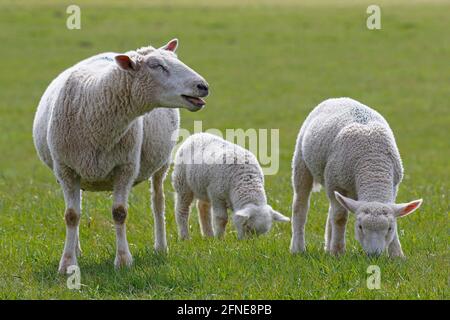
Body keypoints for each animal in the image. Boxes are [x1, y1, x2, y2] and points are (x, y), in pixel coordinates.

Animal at [33, 38, 209, 272]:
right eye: (156, 66)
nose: (203, 86)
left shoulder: (126, 167)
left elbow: (119, 213)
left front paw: (124, 260)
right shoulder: (65, 169)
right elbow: (71, 215)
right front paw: (68, 263)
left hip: (161, 163)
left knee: (158, 201)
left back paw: (161, 246)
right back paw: (77, 248)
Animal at [290, 97, 424, 258]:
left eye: (390, 228)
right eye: (360, 227)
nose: (374, 255)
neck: (373, 169)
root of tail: (338, 99)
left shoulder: (394, 186)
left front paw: (397, 255)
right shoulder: (335, 183)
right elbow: (340, 218)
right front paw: (338, 252)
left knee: (330, 211)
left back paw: (327, 247)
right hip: (301, 162)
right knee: (301, 206)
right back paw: (298, 248)